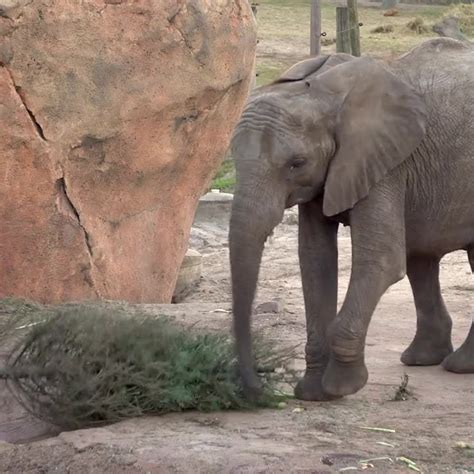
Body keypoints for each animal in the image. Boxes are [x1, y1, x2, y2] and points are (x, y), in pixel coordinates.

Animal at [228, 38, 472, 400]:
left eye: (297, 163)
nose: (259, 388)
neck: (323, 91)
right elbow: (315, 260)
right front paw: (312, 393)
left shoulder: (386, 163)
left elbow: (381, 261)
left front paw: (342, 387)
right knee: (420, 258)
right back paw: (426, 360)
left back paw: (458, 366)